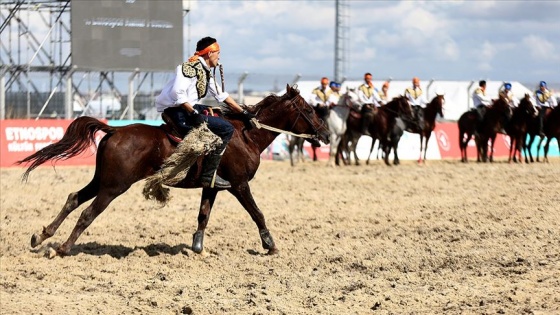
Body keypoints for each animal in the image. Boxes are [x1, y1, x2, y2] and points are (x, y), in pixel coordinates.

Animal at [19, 85, 330, 258]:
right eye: (308, 110)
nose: (326, 134)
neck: (246, 135)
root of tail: (115, 130)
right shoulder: (240, 185)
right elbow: (257, 213)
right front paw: (270, 244)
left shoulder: (212, 186)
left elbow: (203, 215)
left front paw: (197, 247)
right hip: (113, 187)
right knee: (87, 213)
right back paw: (63, 248)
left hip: (101, 180)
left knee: (73, 198)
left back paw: (42, 236)